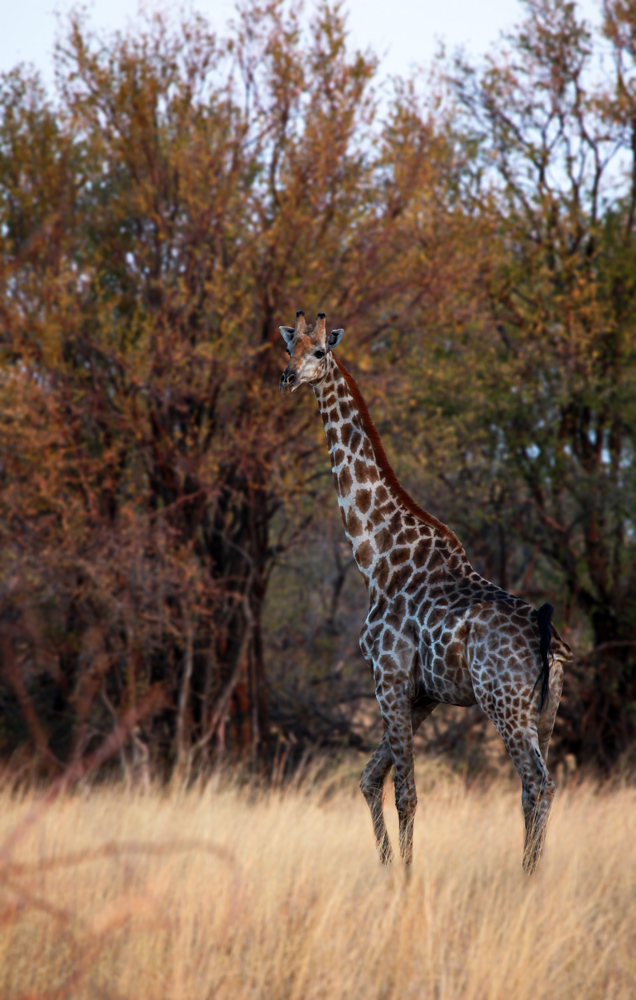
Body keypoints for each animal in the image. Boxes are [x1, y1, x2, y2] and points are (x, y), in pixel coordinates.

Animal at [278, 308, 572, 872]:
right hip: (546, 712)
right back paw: (533, 876)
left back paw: (526, 880)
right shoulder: (425, 694)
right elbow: (369, 778)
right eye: (288, 347)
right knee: (535, 790)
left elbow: (406, 793)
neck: (375, 555)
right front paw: (389, 871)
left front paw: (407, 881)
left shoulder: (388, 677)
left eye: (320, 351)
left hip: (505, 704)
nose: (288, 377)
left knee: (538, 784)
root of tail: (550, 639)